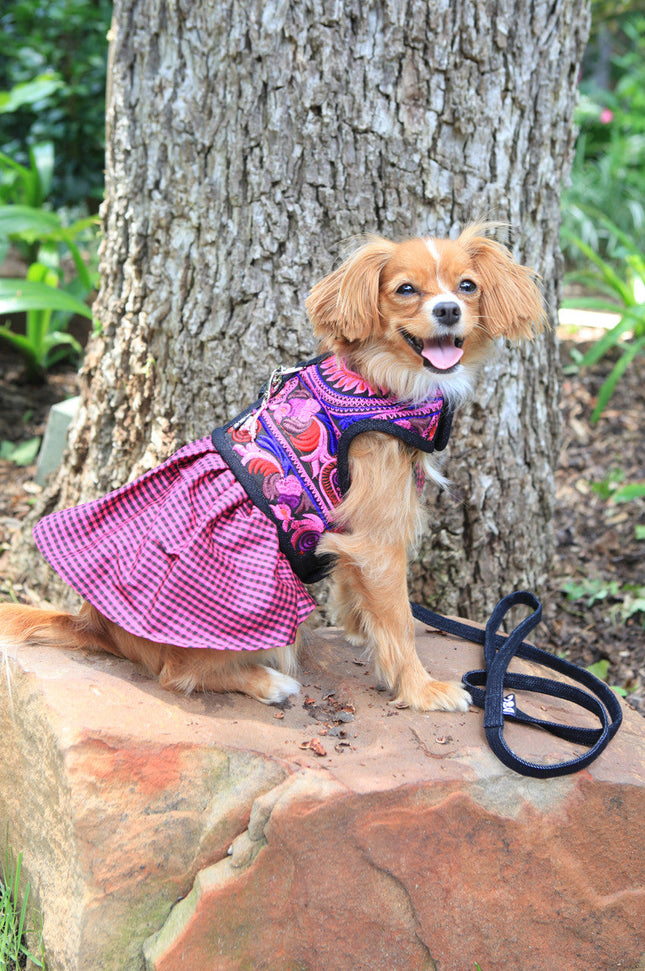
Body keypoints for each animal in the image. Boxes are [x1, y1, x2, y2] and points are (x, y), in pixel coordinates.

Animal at [0, 228, 544, 712]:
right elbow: (399, 620)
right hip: (258, 622)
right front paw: (421, 689)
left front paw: (356, 632)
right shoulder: (379, 539)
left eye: (467, 286)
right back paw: (267, 682)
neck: (378, 382)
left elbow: (356, 592)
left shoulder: (352, 533)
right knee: (178, 674)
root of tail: (94, 624)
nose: (448, 309)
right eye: (406, 290)